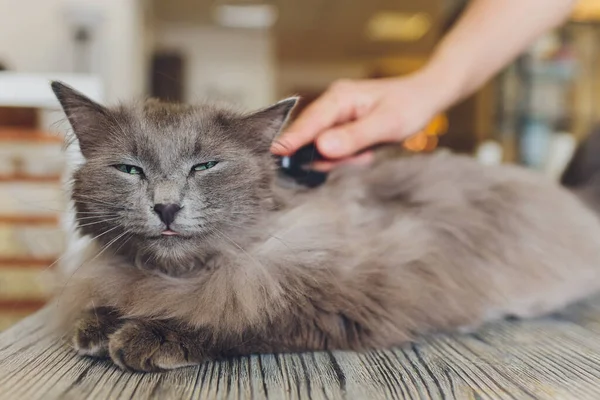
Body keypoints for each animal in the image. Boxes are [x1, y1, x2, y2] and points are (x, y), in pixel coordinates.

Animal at [50, 80, 600, 372]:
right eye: (130, 170)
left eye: (205, 167)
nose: (165, 207)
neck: (178, 275)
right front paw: (96, 327)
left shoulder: (334, 300)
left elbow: (232, 319)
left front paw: (140, 337)